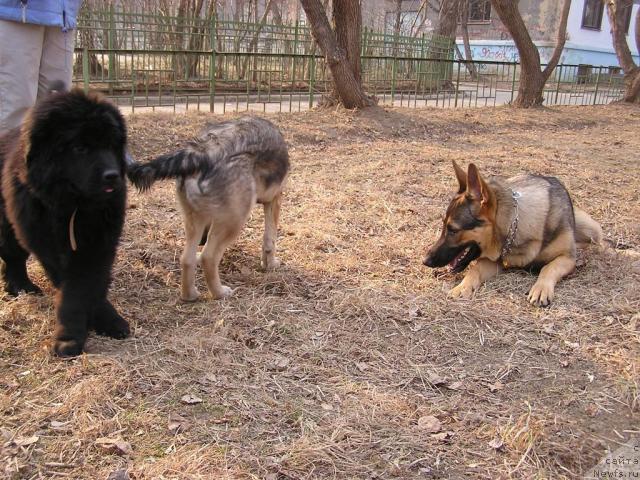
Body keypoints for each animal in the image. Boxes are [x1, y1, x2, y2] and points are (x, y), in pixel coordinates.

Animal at [0, 89, 130, 356]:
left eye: (111, 145)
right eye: (80, 148)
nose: (112, 176)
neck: (74, 206)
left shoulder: (100, 243)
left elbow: (89, 283)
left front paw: (108, 319)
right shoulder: (48, 245)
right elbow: (75, 291)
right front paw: (69, 337)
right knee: (13, 254)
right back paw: (19, 285)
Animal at [129, 116, 288, 300]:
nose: (202, 240)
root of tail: (201, 152)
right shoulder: (275, 199)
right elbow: (270, 239)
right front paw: (271, 264)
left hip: (194, 220)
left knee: (187, 259)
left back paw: (190, 296)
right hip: (235, 221)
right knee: (208, 257)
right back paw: (220, 293)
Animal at [424, 162, 600, 308]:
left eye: (453, 230)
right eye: (443, 226)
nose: (425, 261)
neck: (516, 226)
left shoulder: (568, 258)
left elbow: (549, 268)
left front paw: (541, 288)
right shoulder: (496, 261)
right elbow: (475, 269)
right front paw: (463, 287)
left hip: (592, 229)